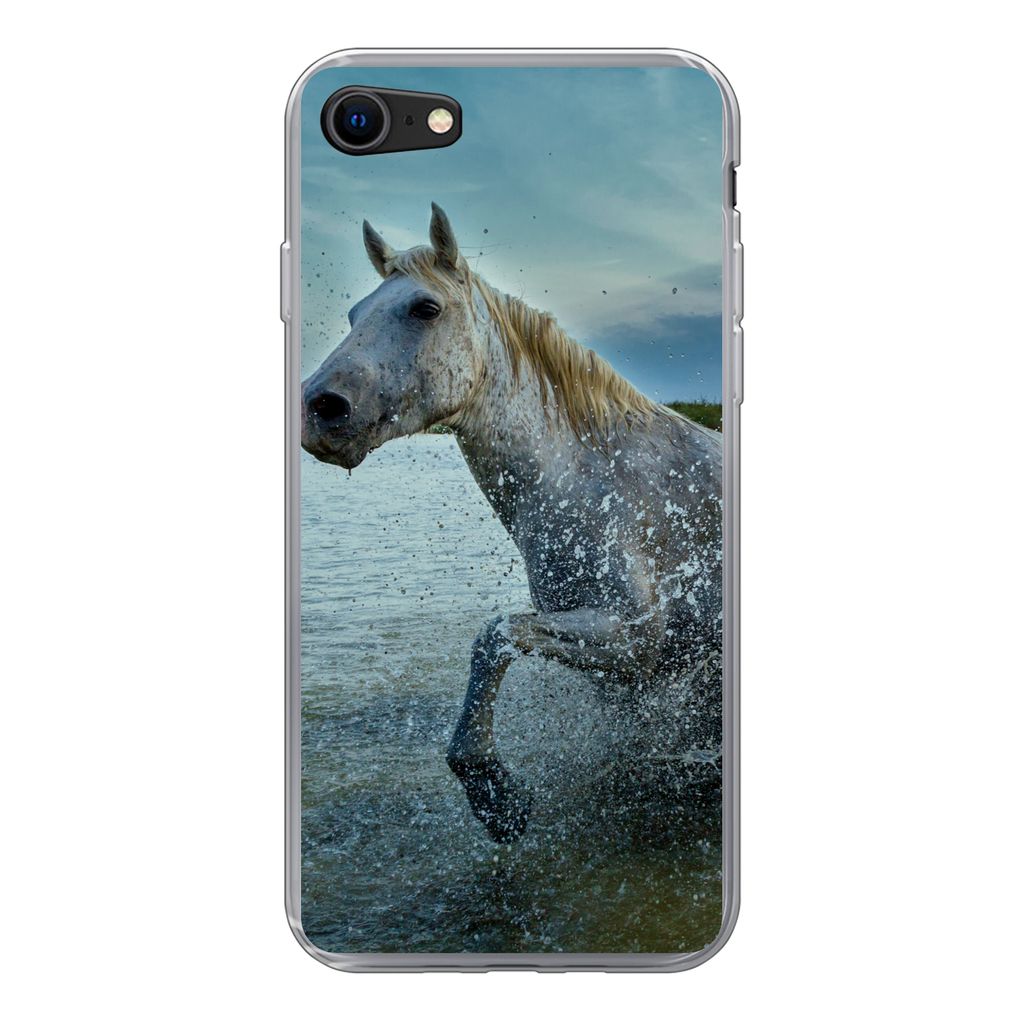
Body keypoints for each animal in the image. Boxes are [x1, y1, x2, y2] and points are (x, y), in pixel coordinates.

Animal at [301, 203, 723, 843]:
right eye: (354, 313)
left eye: (426, 308)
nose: (319, 407)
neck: (593, 478)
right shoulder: (620, 669)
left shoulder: (635, 639)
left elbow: (494, 636)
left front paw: (492, 790)